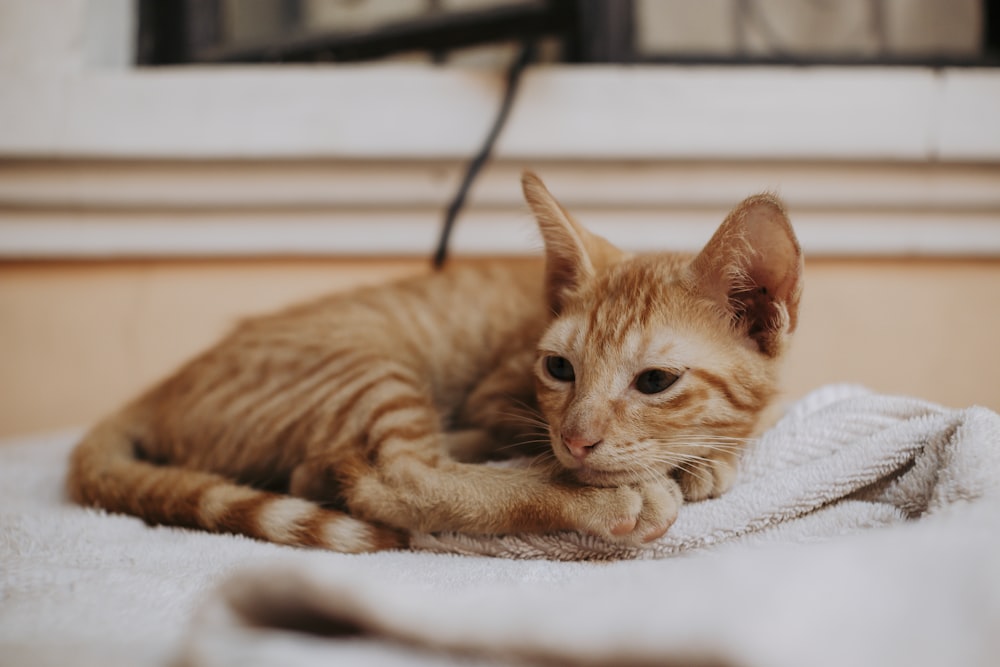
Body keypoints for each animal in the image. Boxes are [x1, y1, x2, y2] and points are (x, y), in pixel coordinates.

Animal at [66, 171, 804, 552]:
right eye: (559, 369)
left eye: (655, 380)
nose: (576, 438)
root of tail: (162, 386)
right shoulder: (499, 396)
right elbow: (519, 441)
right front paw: (649, 472)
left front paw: (709, 453)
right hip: (372, 370)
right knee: (393, 477)